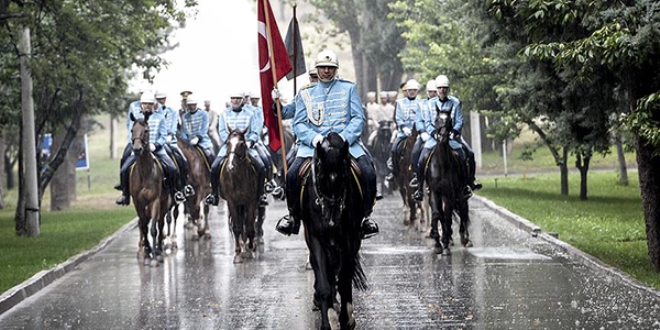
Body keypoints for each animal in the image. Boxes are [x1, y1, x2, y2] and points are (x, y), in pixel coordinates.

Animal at [130, 113, 171, 266]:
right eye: (132, 130)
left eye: (146, 131)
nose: (137, 149)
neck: (145, 172)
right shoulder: (138, 203)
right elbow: (143, 226)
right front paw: (147, 253)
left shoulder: (155, 201)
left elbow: (153, 229)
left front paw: (154, 256)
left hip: (164, 203)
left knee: (160, 223)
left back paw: (159, 250)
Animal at [220, 128, 260, 262]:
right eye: (228, 143)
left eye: (242, 144)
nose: (230, 166)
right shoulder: (231, 202)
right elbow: (237, 227)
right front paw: (237, 253)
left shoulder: (251, 201)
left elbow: (249, 225)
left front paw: (251, 248)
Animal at [302, 132, 368, 330]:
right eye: (321, 175)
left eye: (345, 176)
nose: (332, 220)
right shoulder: (315, 239)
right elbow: (324, 283)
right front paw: (327, 322)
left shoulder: (349, 239)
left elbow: (345, 280)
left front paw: (346, 319)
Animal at [426, 109, 472, 255]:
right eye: (436, 120)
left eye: (450, 120)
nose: (443, 136)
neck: (442, 163)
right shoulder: (434, 192)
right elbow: (437, 214)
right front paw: (437, 243)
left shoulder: (449, 194)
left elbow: (447, 216)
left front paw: (445, 243)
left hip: (461, 193)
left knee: (462, 209)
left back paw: (465, 238)